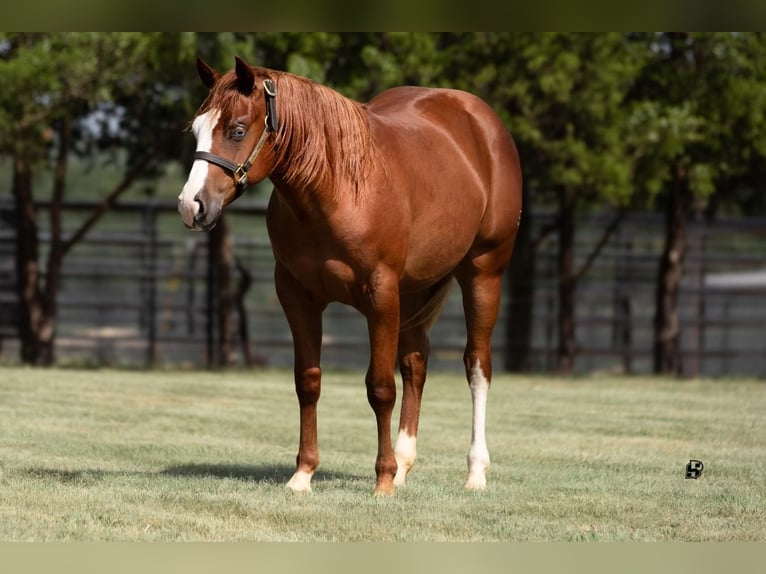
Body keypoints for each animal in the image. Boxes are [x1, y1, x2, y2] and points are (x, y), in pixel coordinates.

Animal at [180, 58, 520, 498]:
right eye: (196, 128)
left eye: (237, 130)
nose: (191, 205)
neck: (337, 188)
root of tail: (482, 121)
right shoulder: (297, 295)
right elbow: (308, 382)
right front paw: (303, 475)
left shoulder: (381, 296)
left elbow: (380, 388)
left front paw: (382, 481)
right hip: (415, 292)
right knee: (415, 364)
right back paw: (404, 464)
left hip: (483, 273)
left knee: (477, 367)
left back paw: (474, 472)